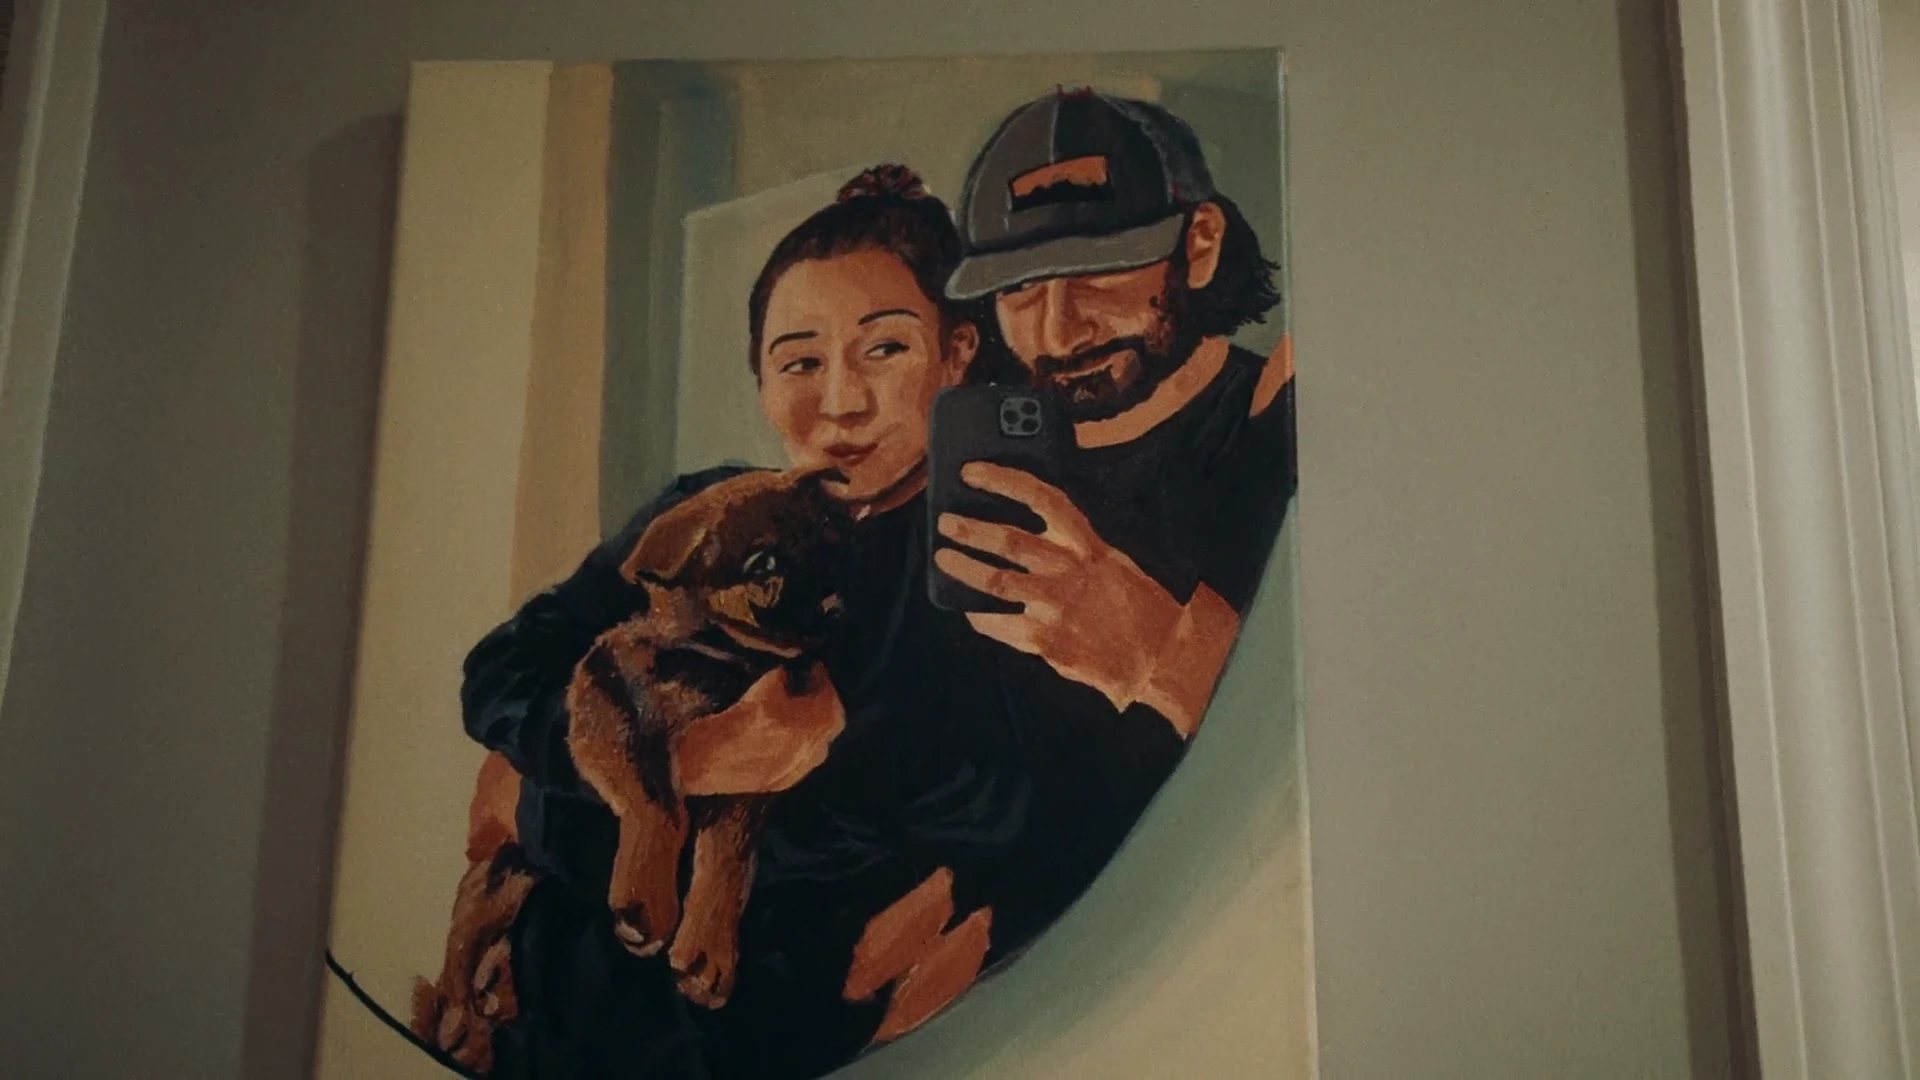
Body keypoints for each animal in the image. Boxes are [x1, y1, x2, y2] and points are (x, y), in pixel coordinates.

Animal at [411, 467, 853, 1072]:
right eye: (763, 565)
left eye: (829, 540)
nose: (836, 606)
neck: (719, 661)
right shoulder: (608, 695)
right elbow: (659, 801)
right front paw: (647, 903)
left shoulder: (750, 784)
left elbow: (728, 862)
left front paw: (708, 951)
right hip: (500, 867)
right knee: (461, 930)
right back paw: (459, 1011)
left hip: (514, 878)